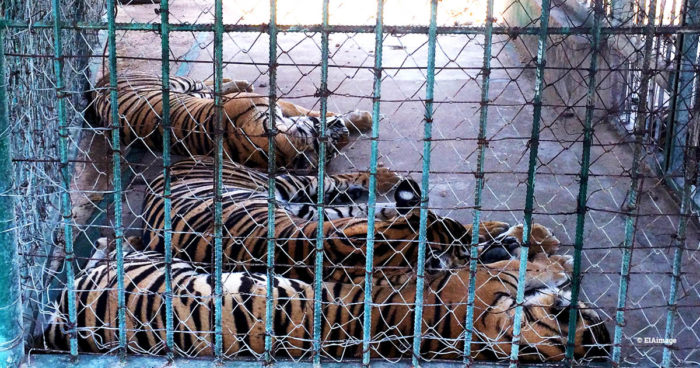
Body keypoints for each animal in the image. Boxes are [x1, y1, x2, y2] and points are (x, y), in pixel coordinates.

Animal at [93, 73, 378, 171]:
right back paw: (239, 82)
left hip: (194, 91)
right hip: (179, 82)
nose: (342, 132)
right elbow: (308, 109)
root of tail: (99, 84)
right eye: (331, 143)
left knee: (210, 85)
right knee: (207, 82)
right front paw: (359, 118)